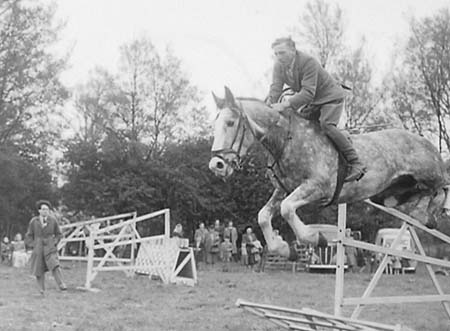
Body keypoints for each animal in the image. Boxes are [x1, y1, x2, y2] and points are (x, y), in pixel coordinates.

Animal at [208, 87, 450, 260]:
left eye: (231, 123)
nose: (216, 165)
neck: (286, 140)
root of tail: (425, 141)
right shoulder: (283, 190)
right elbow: (264, 216)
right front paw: (285, 249)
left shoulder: (318, 187)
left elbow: (287, 209)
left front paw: (316, 238)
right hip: (388, 191)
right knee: (412, 196)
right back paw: (421, 213)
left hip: (428, 172)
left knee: (441, 186)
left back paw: (430, 213)